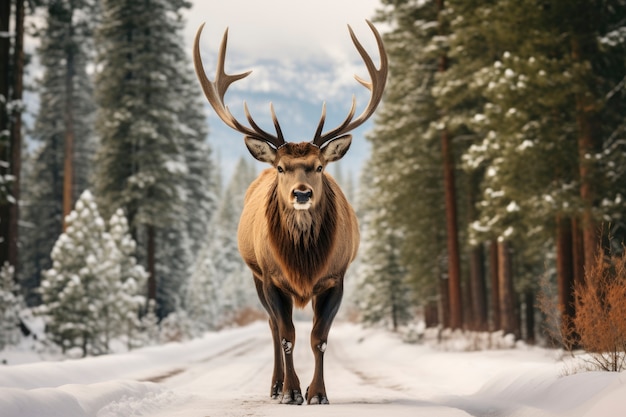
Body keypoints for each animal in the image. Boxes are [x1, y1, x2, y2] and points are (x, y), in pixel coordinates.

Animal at [193, 20, 386, 404]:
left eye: (320, 166)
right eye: (282, 167)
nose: (301, 192)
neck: (303, 263)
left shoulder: (336, 277)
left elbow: (319, 338)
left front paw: (318, 393)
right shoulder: (271, 277)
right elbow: (286, 335)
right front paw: (291, 391)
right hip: (254, 274)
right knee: (271, 326)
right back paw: (275, 385)